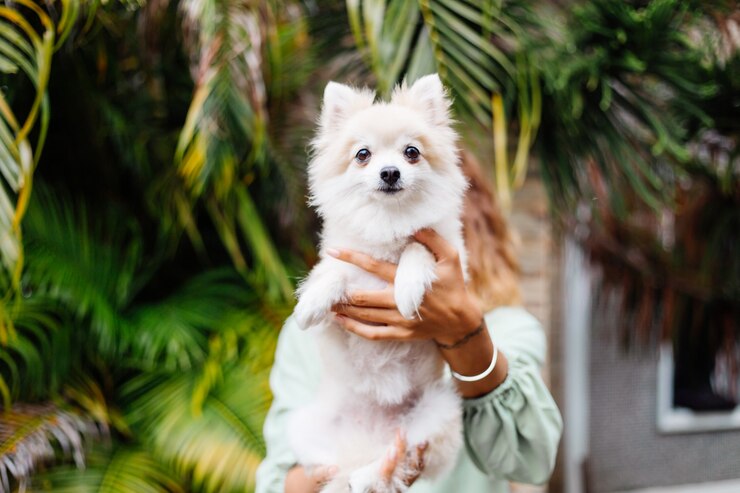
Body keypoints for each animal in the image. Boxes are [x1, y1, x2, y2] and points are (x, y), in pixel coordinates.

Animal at [292, 74, 466, 492]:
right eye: (363, 155)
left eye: (411, 152)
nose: (390, 172)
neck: (388, 223)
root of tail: (366, 442)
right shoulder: (341, 280)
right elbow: (334, 271)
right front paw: (310, 303)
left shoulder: (452, 259)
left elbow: (417, 248)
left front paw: (406, 288)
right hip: (304, 426)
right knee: (332, 469)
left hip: (437, 413)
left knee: (397, 458)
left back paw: (373, 471)